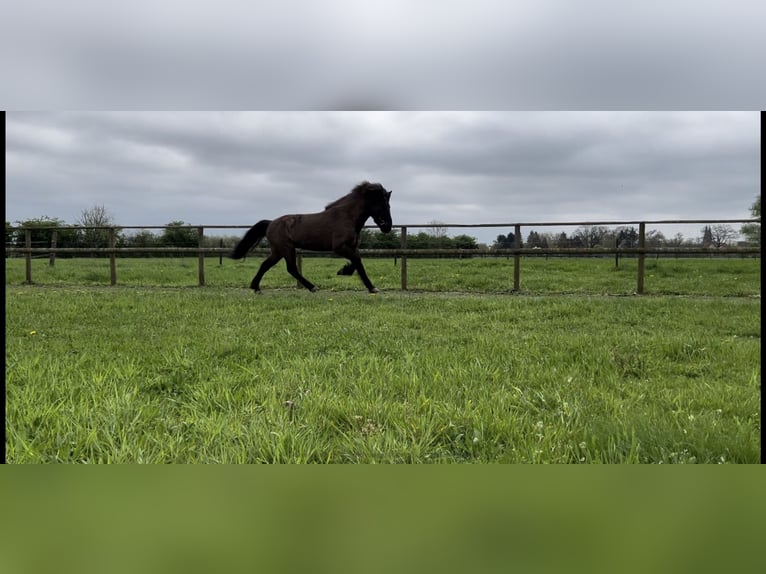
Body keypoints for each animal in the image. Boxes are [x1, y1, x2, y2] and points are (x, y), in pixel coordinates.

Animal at [231, 182, 392, 294]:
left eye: (388, 205)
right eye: (381, 204)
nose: (388, 226)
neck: (347, 217)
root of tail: (271, 223)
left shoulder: (352, 247)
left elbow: (356, 262)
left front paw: (343, 270)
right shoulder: (339, 247)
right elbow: (358, 262)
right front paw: (372, 288)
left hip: (278, 251)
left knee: (267, 265)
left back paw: (256, 288)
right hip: (286, 249)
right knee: (290, 268)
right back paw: (313, 287)